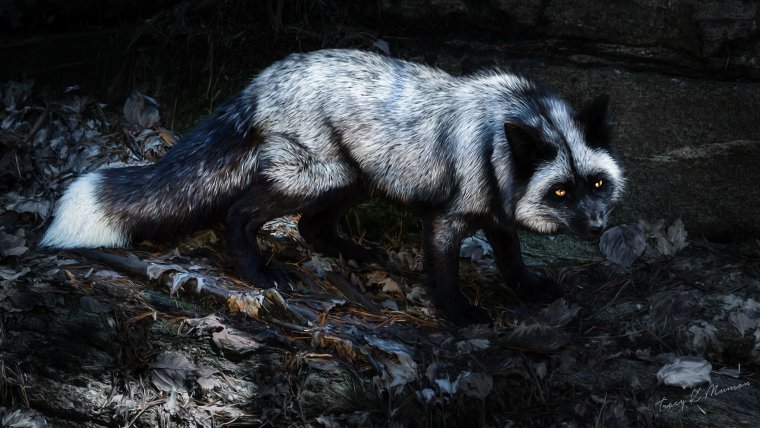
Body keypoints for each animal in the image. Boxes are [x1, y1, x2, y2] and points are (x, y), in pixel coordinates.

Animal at [41, 49, 625, 325]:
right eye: (560, 192)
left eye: (596, 183)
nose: (599, 227)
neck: (498, 138)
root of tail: (258, 82)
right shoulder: (449, 218)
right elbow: (445, 275)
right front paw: (459, 316)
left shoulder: (497, 214)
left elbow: (513, 259)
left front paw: (529, 289)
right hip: (319, 175)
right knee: (240, 213)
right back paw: (257, 273)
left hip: (358, 179)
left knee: (313, 227)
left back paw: (358, 255)